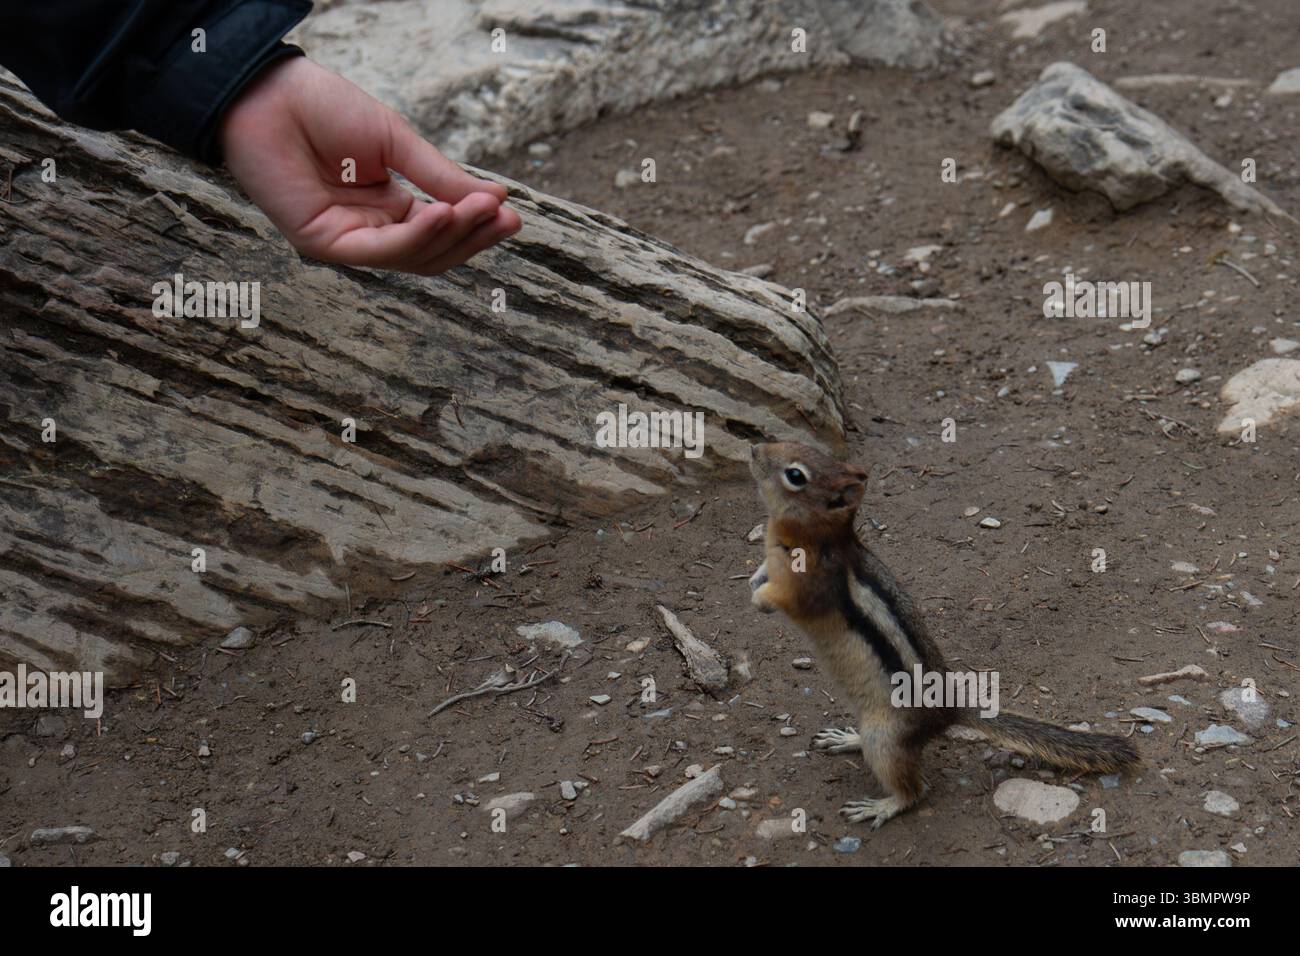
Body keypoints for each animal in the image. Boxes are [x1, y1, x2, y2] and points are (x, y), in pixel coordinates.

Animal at [747, 441, 1139, 829]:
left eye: (796, 475)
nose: (753, 449)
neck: (811, 533)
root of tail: (948, 711)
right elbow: (765, 570)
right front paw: (755, 579)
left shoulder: (809, 587)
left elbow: (788, 600)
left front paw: (760, 599)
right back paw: (847, 738)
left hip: (885, 739)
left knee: (915, 789)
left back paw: (882, 806)